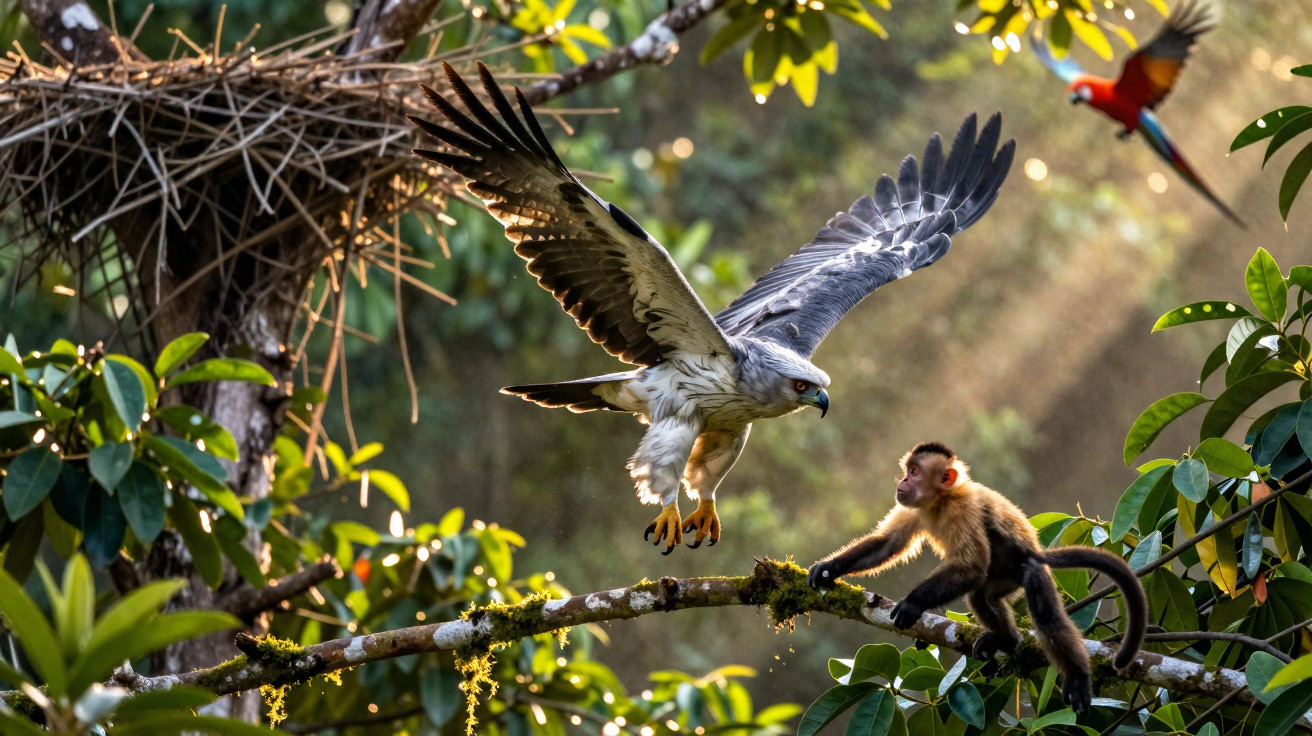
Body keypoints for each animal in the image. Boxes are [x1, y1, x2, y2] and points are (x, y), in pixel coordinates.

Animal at [807, 442, 1147, 714]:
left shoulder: (963, 509)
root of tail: (1036, 552)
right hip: (1004, 580)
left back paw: (1076, 677)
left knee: (1044, 614)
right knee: (980, 596)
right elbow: (885, 545)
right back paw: (1008, 639)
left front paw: (912, 604)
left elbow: (972, 566)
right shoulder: (915, 507)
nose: (902, 480)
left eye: (914, 472)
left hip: (1026, 570)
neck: (941, 501)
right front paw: (827, 570)